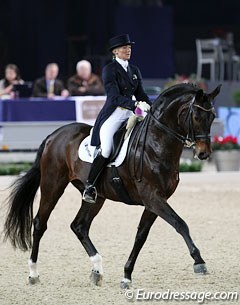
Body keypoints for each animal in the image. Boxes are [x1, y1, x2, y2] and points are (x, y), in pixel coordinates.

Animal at [3, 83, 221, 288]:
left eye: (212, 117)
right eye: (196, 117)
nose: (204, 153)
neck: (156, 145)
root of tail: (53, 136)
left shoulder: (154, 201)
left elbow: (141, 236)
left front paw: (126, 276)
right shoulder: (152, 197)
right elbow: (180, 223)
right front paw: (199, 261)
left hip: (95, 196)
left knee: (79, 226)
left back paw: (97, 271)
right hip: (52, 184)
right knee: (40, 223)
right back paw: (33, 274)